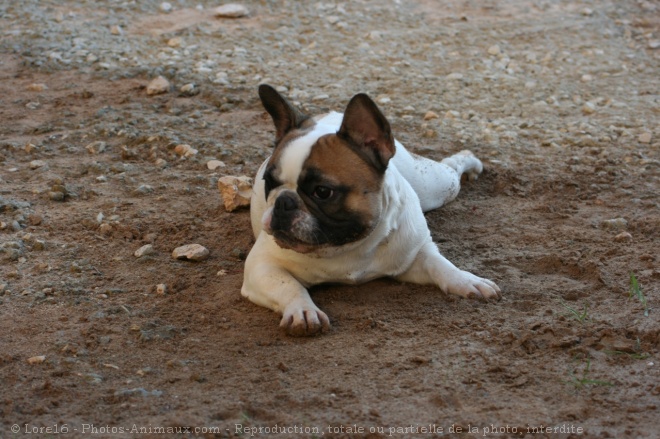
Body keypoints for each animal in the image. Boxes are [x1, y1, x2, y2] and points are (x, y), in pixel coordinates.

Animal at [242, 84, 500, 336]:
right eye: (268, 182)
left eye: (322, 192)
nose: (283, 202)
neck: (346, 247)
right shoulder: (261, 266)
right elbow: (289, 286)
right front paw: (303, 310)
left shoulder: (415, 254)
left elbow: (440, 264)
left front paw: (466, 280)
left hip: (433, 186)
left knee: (451, 167)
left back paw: (471, 162)